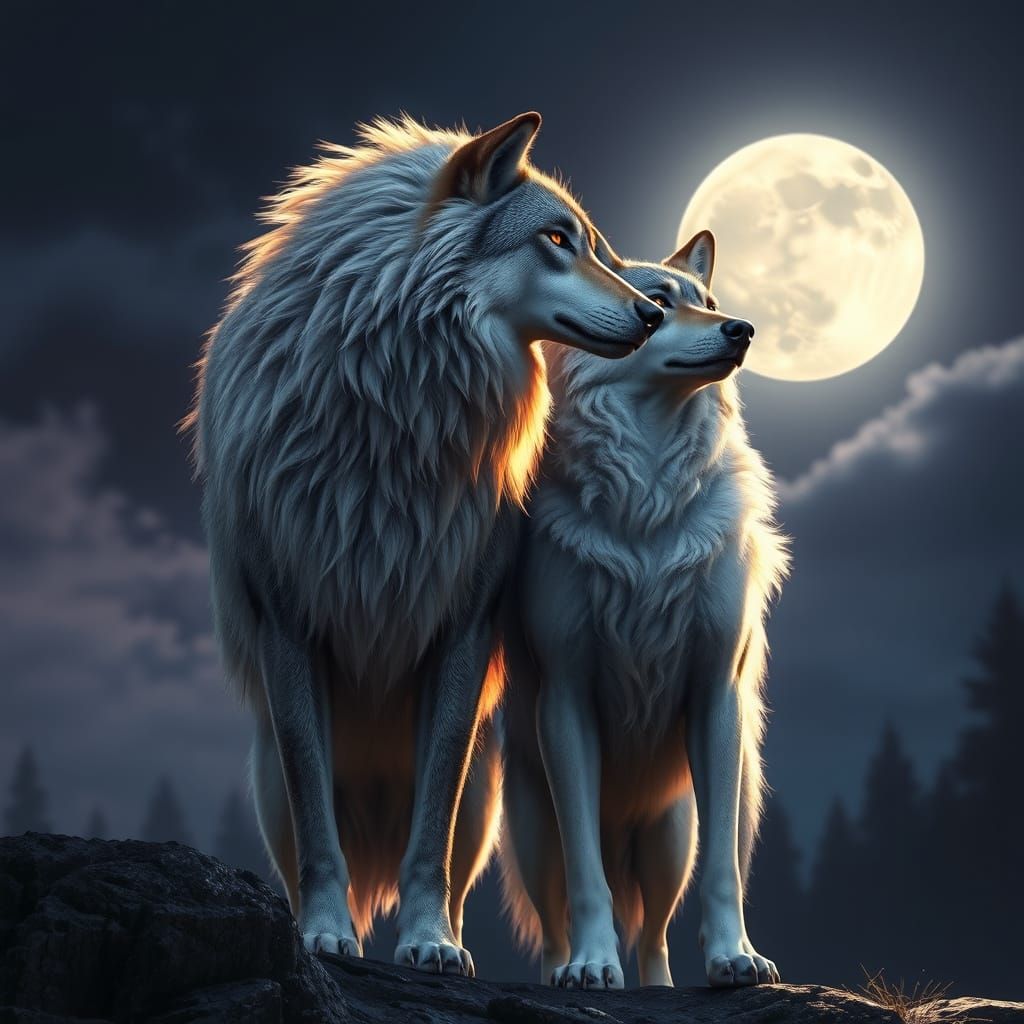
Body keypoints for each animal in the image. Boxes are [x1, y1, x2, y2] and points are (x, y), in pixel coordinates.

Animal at [180, 111, 663, 976]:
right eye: (556, 239)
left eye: (599, 248)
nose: (649, 314)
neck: (394, 414)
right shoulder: (289, 626)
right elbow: (320, 833)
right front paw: (325, 934)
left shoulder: (461, 631)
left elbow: (429, 832)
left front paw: (429, 942)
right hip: (267, 777)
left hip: (488, 794)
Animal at [500, 230, 789, 989]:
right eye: (656, 305)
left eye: (709, 302)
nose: (742, 329)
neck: (648, 495)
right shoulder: (566, 695)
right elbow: (587, 882)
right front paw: (592, 967)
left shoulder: (715, 692)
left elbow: (723, 875)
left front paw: (735, 958)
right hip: (532, 828)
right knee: (554, 925)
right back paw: (565, 970)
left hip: (669, 841)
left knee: (656, 935)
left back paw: (660, 986)